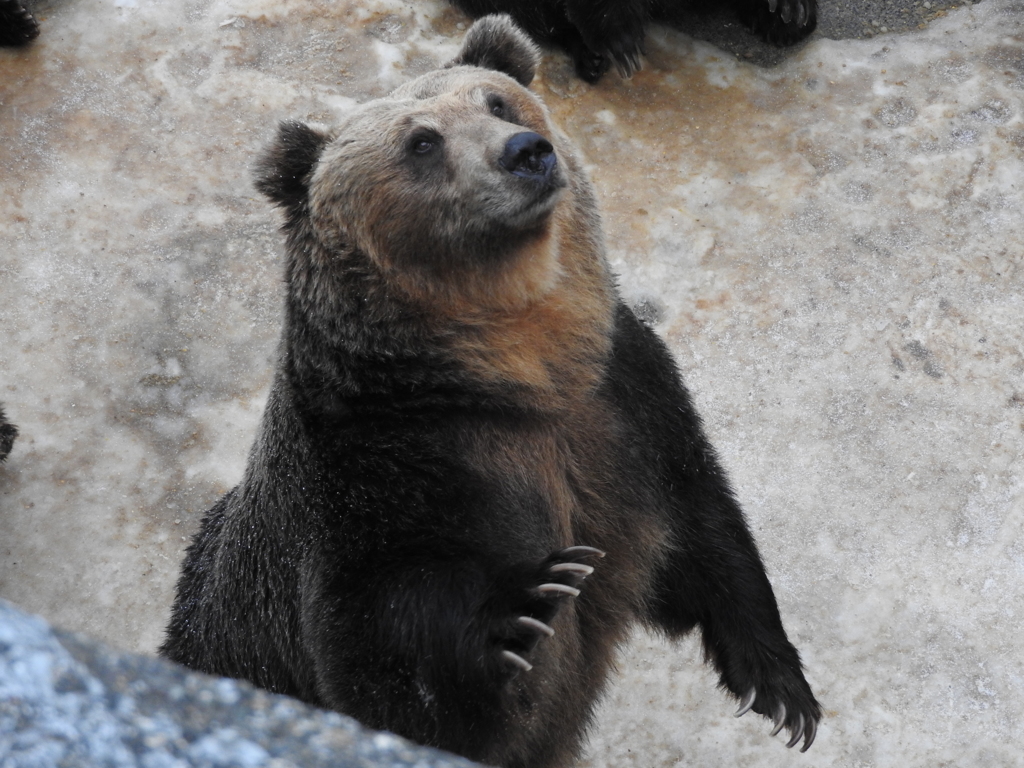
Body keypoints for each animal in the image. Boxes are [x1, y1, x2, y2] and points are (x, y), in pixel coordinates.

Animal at [161, 13, 823, 768]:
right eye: (422, 141)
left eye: (499, 102)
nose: (525, 152)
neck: (515, 372)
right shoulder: (371, 479)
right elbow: (385, 663)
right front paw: (531, 602)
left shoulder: (623, 400)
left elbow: (699, 523)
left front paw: (781, 686)